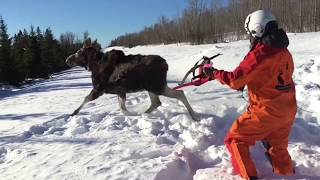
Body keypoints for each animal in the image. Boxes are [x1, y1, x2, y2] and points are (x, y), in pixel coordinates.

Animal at [66, 39, 199, 121]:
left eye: (79, 51)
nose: (67, 60)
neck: (94, 65)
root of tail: (166, 64)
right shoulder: (120, 91)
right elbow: (122, 108)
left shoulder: (99, 88)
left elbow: (86, 99)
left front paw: (73, 113)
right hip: (152, 87)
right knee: (156, 102)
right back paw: (143, 114)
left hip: (157, 86)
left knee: (179, 93)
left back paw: (194, 115)